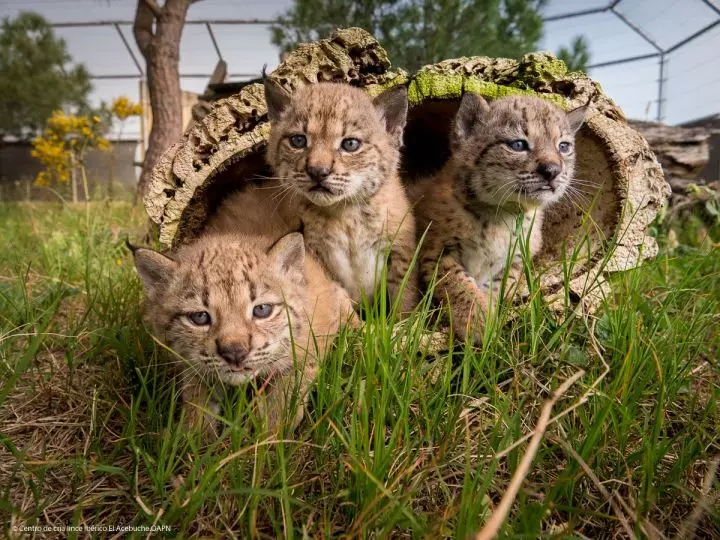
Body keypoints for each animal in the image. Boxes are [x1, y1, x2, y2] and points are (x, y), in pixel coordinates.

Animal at [262, 82, 420, 314]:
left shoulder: (400, 249)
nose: (318, 171)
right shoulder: (318, 259)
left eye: (350, 144)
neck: (347, 214)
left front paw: (405, 320)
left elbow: (404, 299)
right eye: (298, 140)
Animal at [416, 90, 584, 340]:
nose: (553, 171)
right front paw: (477, 322)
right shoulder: (435, 249)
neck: (505, 212)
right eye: (518, 144)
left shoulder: (514, 260)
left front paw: (488, 317)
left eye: (563, 147)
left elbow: (496, 288)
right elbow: (458, 283)